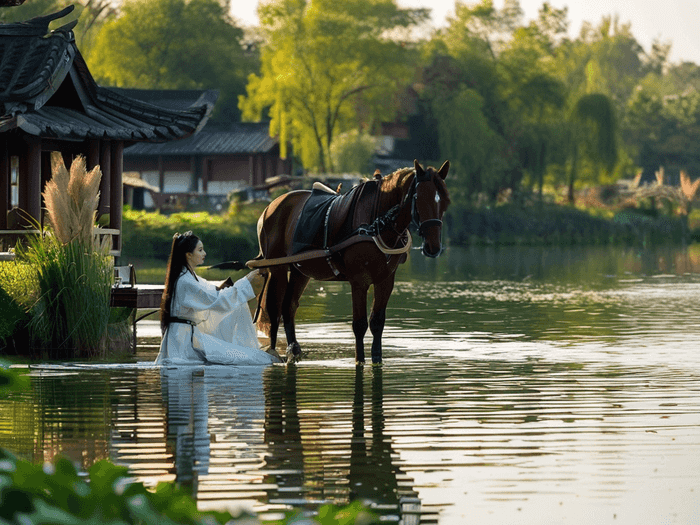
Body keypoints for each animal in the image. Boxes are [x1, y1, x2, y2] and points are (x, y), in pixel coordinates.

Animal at [249, 160, 452, 364]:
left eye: (445, 201)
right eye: (419, 198)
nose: (434, 247)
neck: (376, 224)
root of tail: (270, 207)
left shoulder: (386, 280)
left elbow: (377, 322)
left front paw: (377, 358)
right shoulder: (359, 280)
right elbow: (359, 325)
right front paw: (359, 360)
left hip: (300, 270)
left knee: (288, 306)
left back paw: (293, 349)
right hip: (277, 267)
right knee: (274, 310)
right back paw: (273, 351)